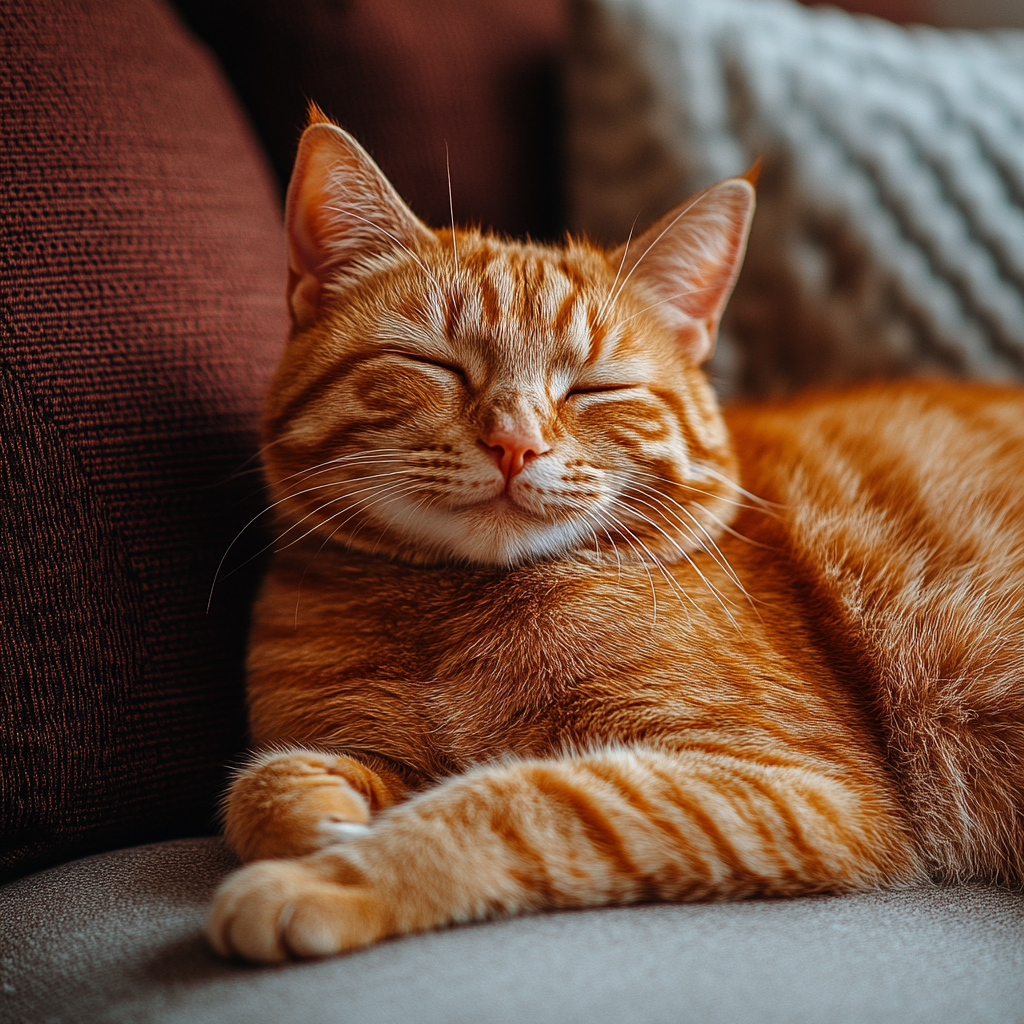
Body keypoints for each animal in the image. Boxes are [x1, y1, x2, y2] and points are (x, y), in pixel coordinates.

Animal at [205, 105, 1024, 958]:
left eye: (594, 389)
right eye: (437, 366)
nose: (514, 443)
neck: (457, 615)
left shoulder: (793, 780)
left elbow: (512, 800)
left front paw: (332, 877)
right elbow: (263, 784)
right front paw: (317, 820)